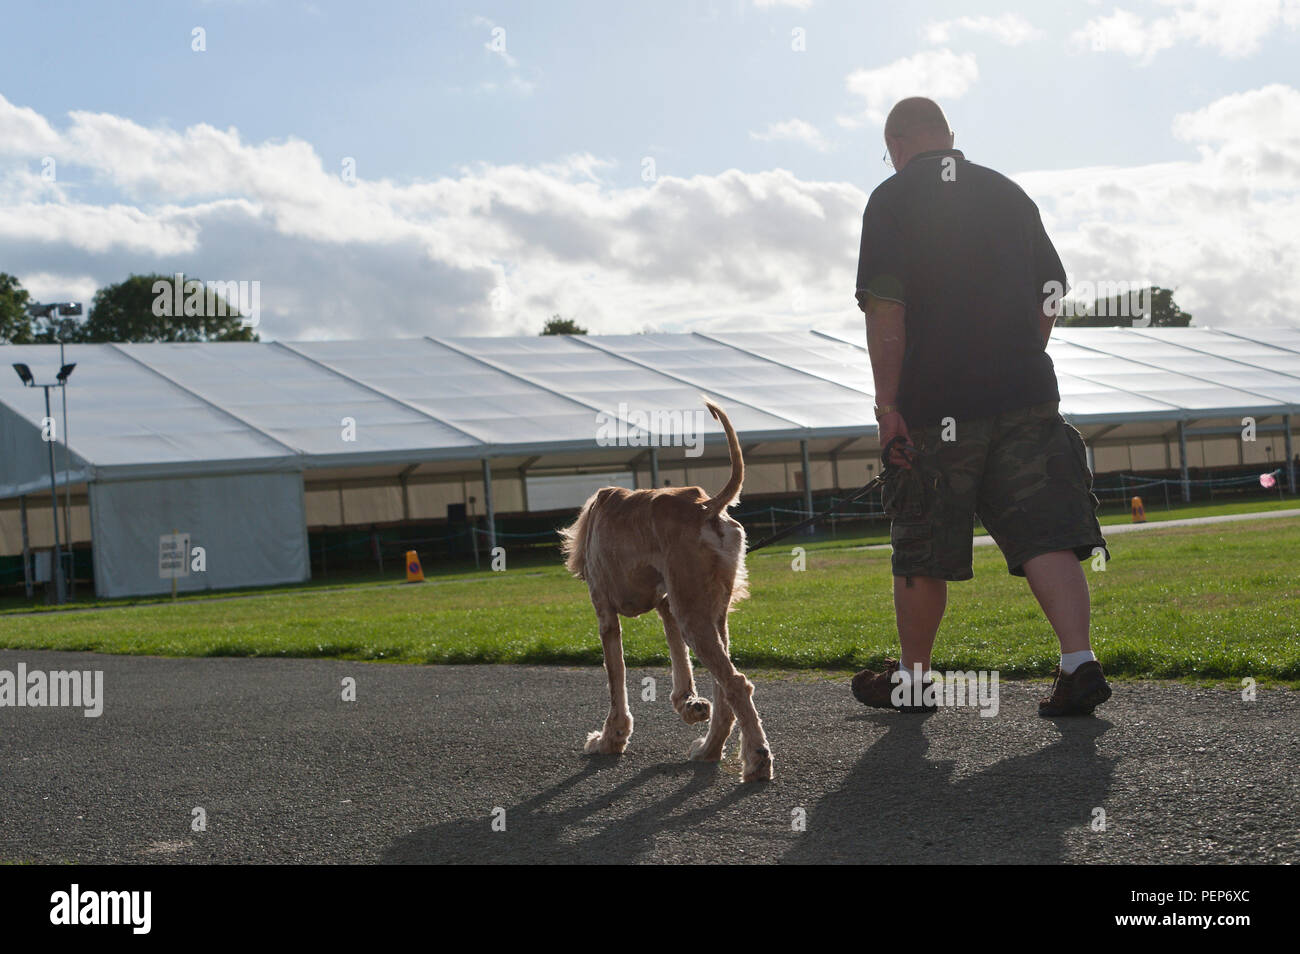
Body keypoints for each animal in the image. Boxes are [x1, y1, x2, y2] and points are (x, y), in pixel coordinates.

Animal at [559, 400, 769, 779]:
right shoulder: (668, 604)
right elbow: (679, 663)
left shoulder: (605, 612)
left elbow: (615, 678)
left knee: (736, 683)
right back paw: (709, 749)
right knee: (724, 689)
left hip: (693, 613)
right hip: (708, 610)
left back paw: (758, 759)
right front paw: (689, 704)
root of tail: (706, 506)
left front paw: (610, 738)